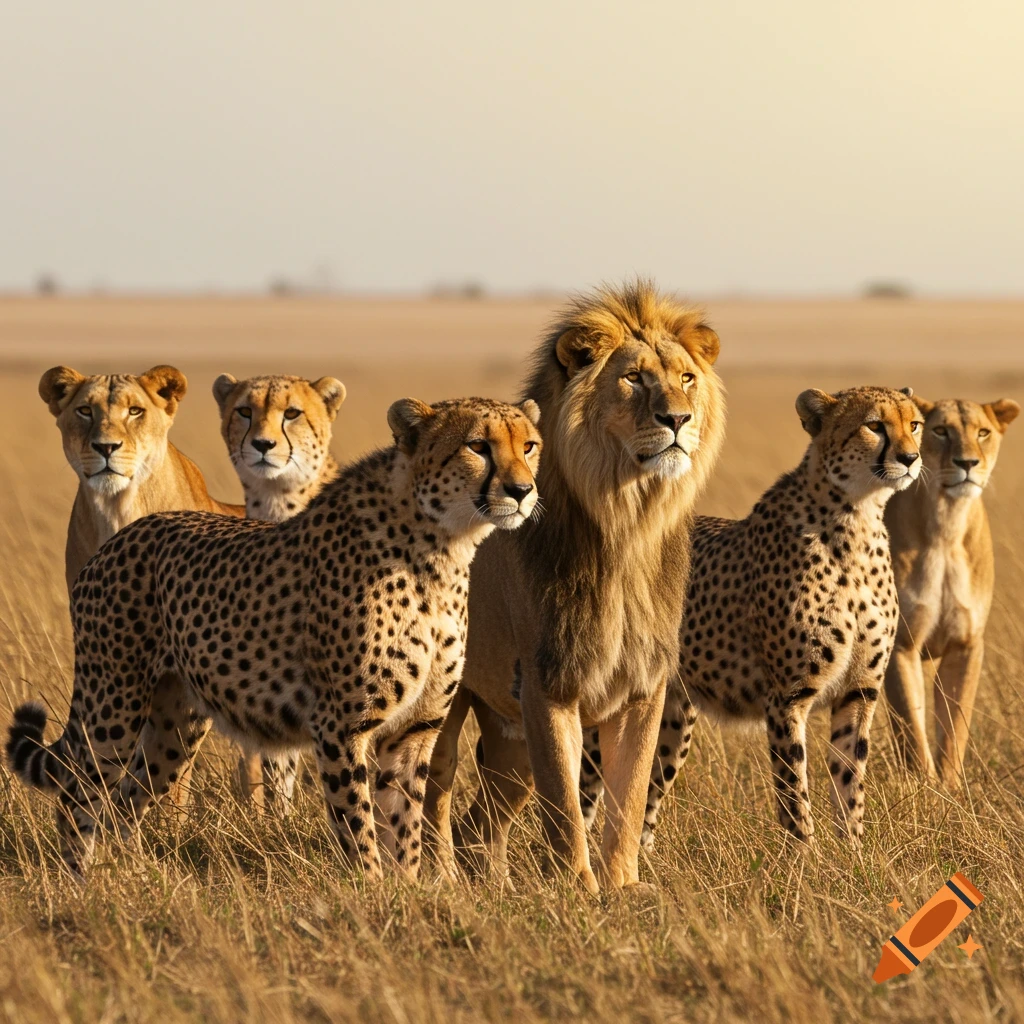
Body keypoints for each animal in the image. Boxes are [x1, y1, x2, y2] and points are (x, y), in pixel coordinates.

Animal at [425, 280, 726, 892]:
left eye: (686, 378)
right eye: (634, 378)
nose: (678, 419)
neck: (629, 522)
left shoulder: (641, 687)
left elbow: (629, 797)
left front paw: (624, 886)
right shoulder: (549, 685)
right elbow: (565, 805)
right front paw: (579, 891)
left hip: (510, 737)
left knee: (481, 822)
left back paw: (497, 888)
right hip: (451, 703)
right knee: (435, 791)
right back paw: (444, 881)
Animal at [885, 395, 1019, 786]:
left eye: (983, 432)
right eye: (941, 431)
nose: (967, 463)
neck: (946, 525)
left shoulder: (966, 643)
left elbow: (956, 724)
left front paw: (950, 786)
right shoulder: (901, 643)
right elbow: (911, 728)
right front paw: (925, 787)